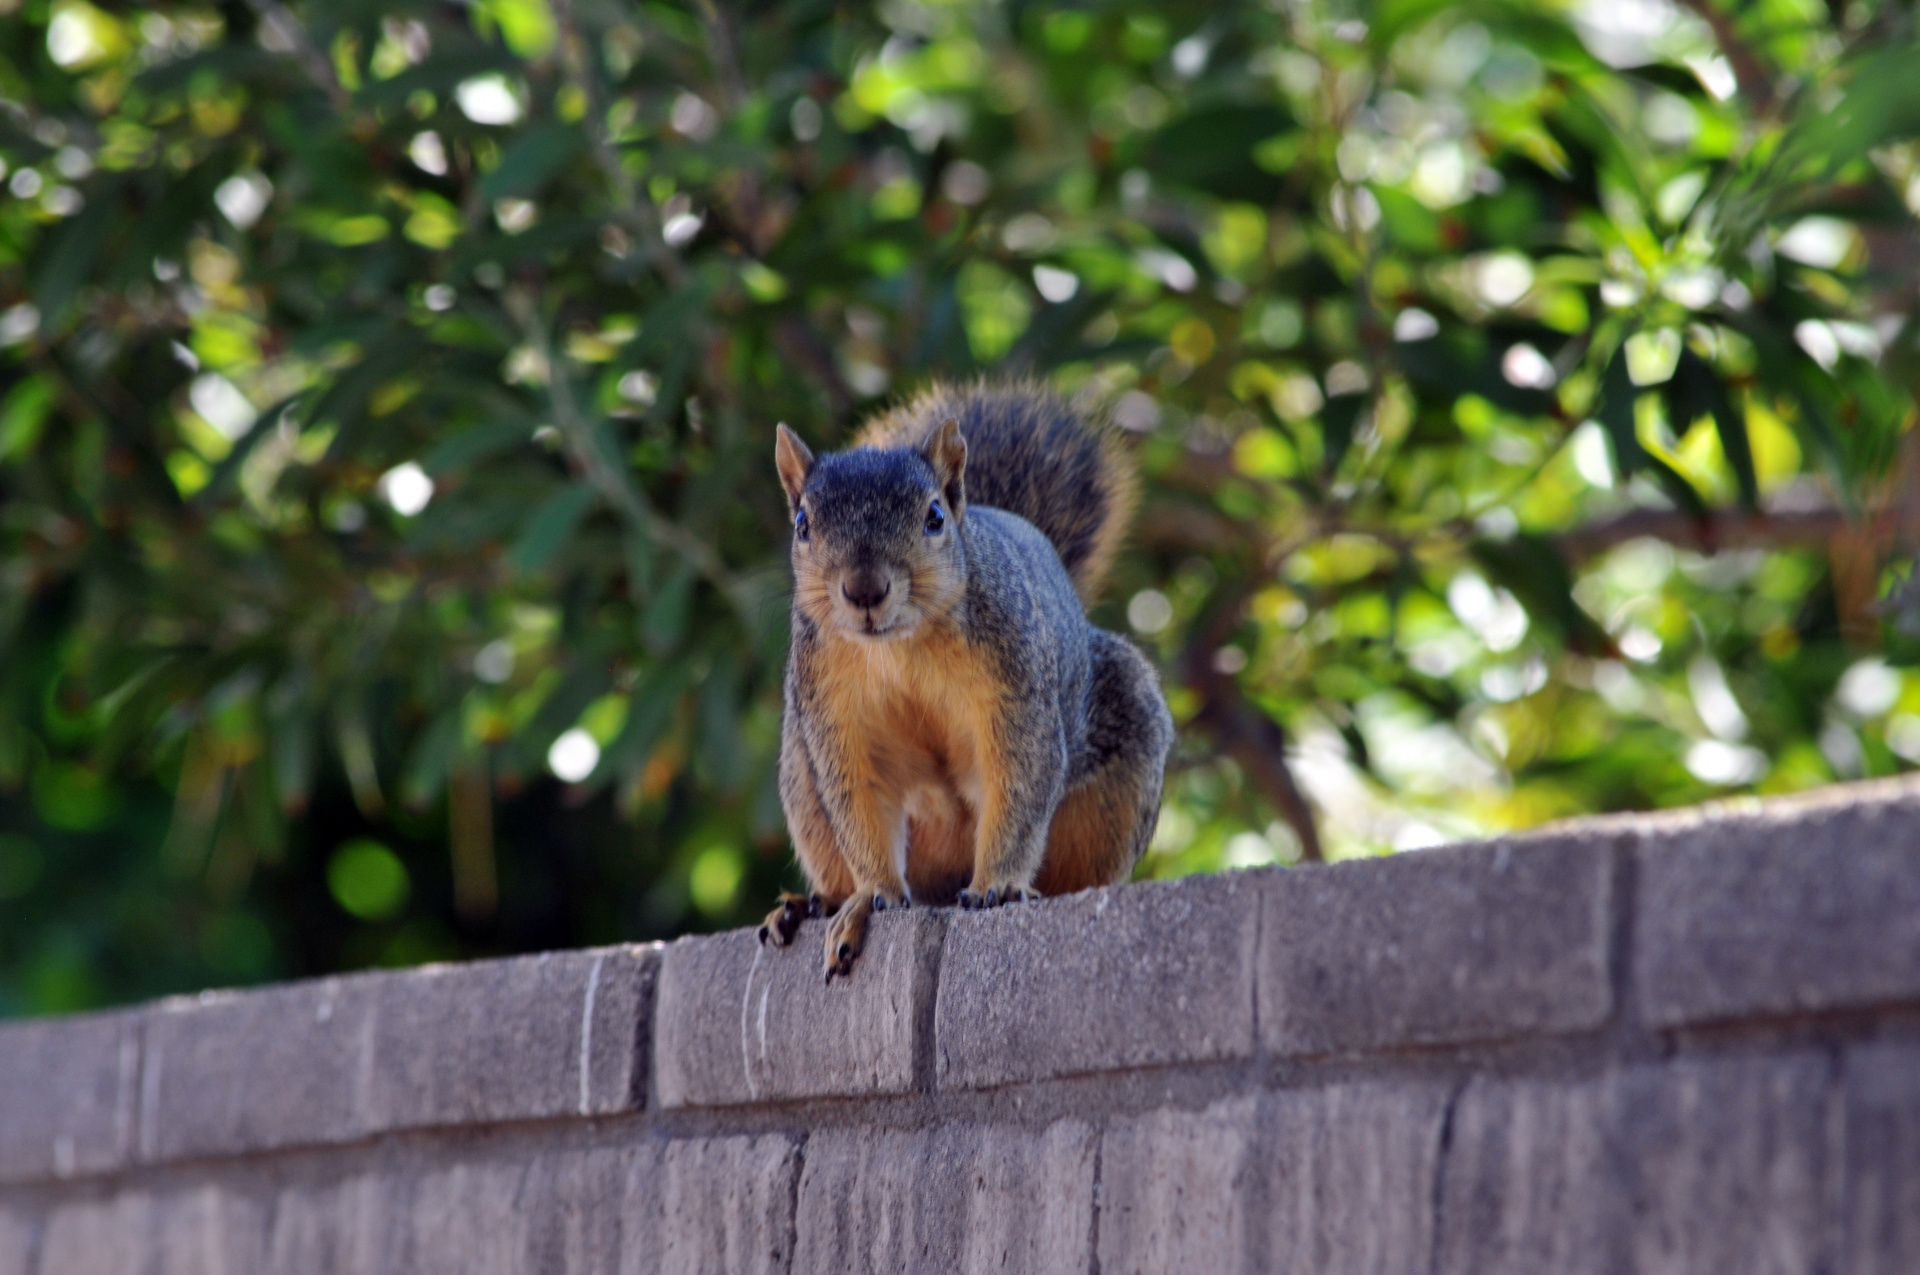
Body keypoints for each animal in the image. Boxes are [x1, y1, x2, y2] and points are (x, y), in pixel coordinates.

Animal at [756, 384, 1175, 979]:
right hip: (800, 769)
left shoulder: (1017, 692)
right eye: (802, 525)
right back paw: (812, 904)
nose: (864, 590)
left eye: (933, 517)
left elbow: (1018, 781)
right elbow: (858, 802)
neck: (900, 646)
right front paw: (871, 898)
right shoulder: (833, 714)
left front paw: (998, 884)